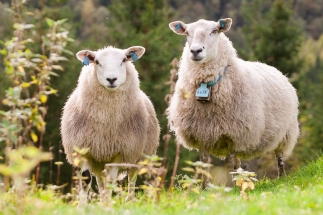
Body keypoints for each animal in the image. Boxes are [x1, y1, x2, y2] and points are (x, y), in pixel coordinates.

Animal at [60, 45, 160, 205]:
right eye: (97, 62)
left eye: (124, 60)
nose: (111, 79)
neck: (106, 122)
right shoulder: (84, 150)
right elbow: (86, 180)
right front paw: (82, 206)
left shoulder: (121, 151)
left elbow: (112, 180)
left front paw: (107, 205)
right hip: (100, 161)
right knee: (101, 181)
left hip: (136, 154)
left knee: (132, 178)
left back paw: (129, 200)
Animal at [168, 18, 300, 179]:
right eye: (187, 33)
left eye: (214, 31)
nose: (195, 51)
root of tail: (276, 70)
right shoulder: (201, 134)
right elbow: (204, 164)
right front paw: (205, 185)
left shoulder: (234, 134)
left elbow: (229, 164)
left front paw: (229, 185)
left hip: (286, 133)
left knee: (279, 156)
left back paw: (282, 176)